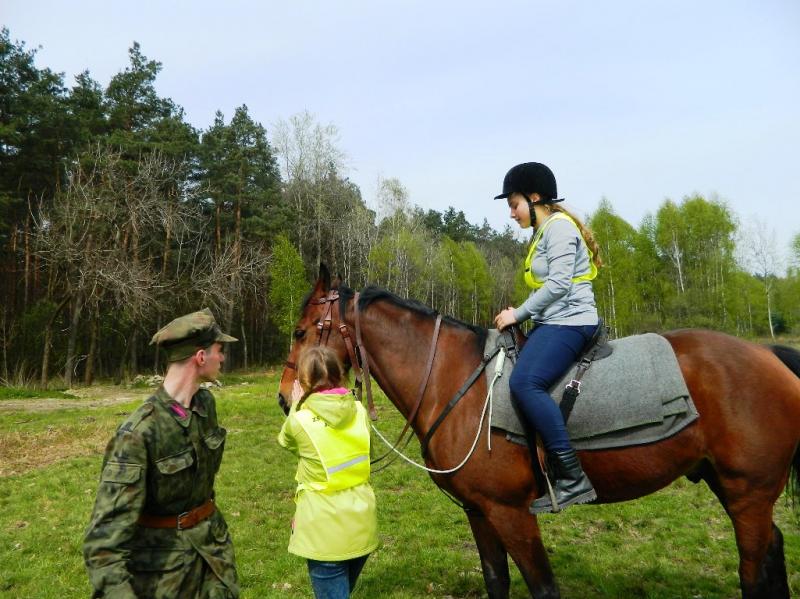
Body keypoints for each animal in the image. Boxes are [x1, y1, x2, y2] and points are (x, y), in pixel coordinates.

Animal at [277, 266, 800, 599]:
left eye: (302, 332)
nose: (285, 397)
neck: (456, 380)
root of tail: (768, 355)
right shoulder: (479, 511)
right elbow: (497, 581)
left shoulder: (511, 512)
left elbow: (542, 586)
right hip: (730, 486)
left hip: (748, 494)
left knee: (754, 573)